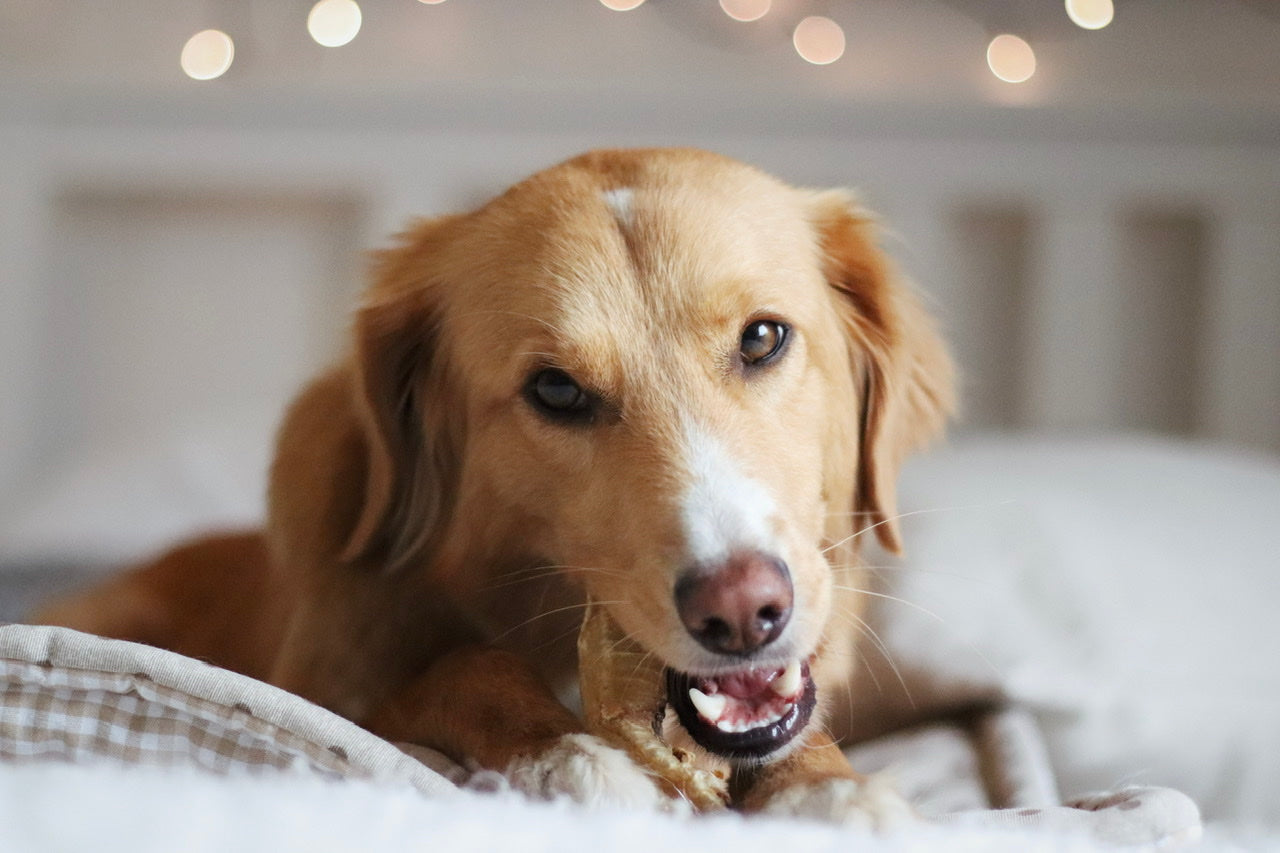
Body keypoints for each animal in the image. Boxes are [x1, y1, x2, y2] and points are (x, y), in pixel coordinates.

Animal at [35, 147, 957, 819]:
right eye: (556, 390)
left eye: (763, 338)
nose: (741, 610)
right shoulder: (329, 691)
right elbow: (464, 665)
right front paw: (563, 755)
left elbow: (803, 734)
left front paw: (827, 785)